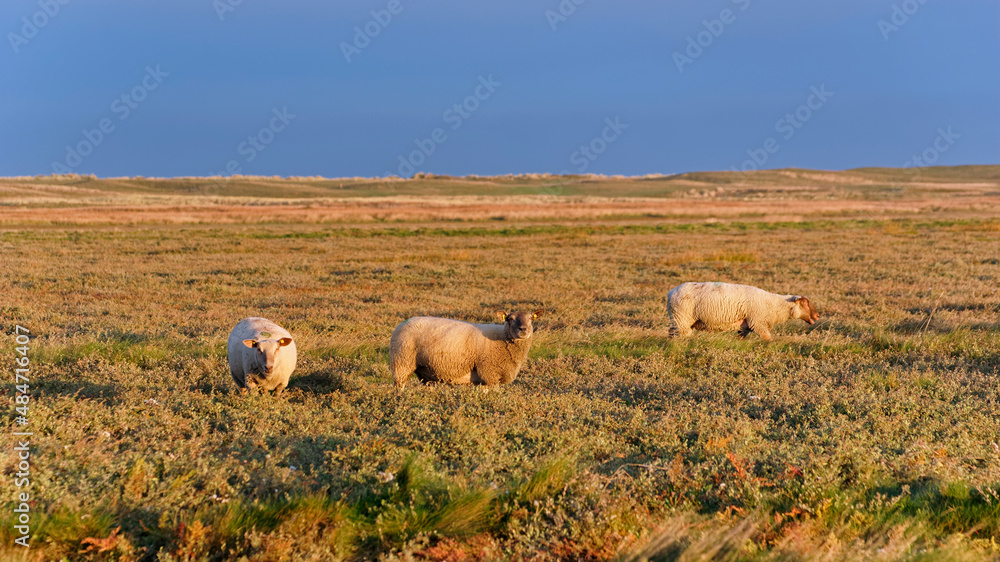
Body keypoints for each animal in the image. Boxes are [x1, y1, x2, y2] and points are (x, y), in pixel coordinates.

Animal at [389, 310, 543, 388]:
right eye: (509, 319)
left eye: (531, 318)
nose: (523, 329)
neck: (502, 337)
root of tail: (403, 323)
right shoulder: (489, 374)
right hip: (401, 363)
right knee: (399, 386)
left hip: (425, 372)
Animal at [667, 282, 819, 341]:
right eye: (805, 303)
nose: (818, 315)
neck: (774, 305)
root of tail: (671, 292)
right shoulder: (758, 323)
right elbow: (768, 339)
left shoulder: (745, 326)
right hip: (682, 319)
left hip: (679, 320)